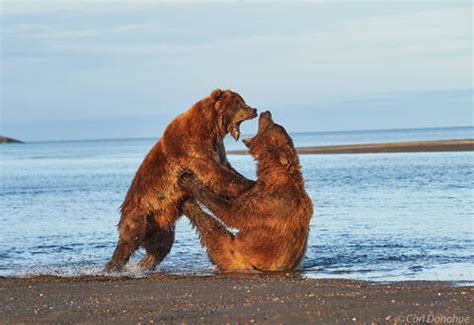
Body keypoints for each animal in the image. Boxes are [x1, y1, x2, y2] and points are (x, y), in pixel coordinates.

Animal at [105, 88, 258, 270]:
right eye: (239, 103)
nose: (254, 110)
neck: (210, 128)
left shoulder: (217, 148)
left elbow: (226, 168)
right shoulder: (192, 148)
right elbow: (215, 174)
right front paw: (250, 184)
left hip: (161, 224)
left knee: (160, 248)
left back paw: (145, 264)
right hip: (139, 215)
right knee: (128, 241)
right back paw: (112, 266)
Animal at [180, 111, 312, 270]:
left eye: (272, 126)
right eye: (276, 123)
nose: (266, 113)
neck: (273, 174)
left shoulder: (272, 203)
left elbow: (234, 213)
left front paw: (191, 178)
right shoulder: (260, 189)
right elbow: (239, 193)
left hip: (234, 253)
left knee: (213, 230)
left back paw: (188, 201)